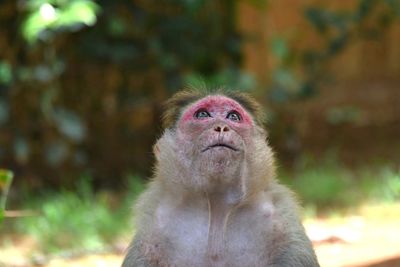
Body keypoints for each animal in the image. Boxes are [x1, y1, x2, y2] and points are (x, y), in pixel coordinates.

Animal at [122, 89, 318, 266]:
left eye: (233, 117)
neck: (217, 208)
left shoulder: (285, 230)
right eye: (202, 114)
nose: (222, 127)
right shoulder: (150, 236)